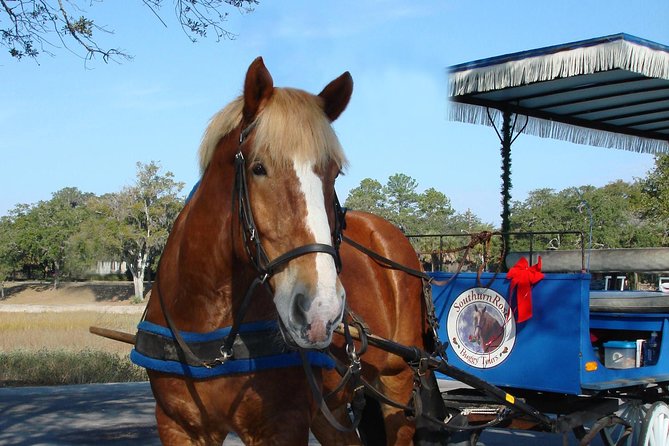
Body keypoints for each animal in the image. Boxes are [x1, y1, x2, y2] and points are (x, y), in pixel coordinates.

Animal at [134, 57, 438, 445]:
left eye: (333, 173)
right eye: (258, 167)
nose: (320, 310)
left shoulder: (283, 424)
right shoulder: (178, 426)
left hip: (397, 386)